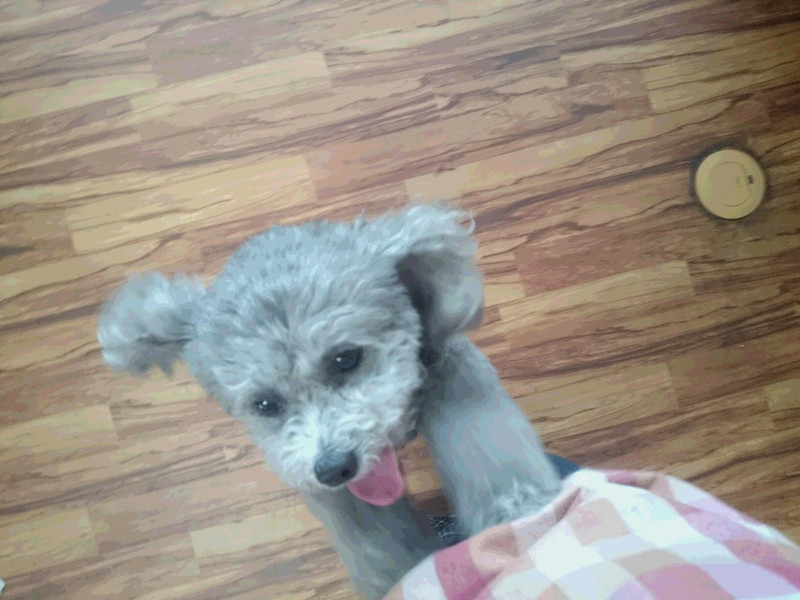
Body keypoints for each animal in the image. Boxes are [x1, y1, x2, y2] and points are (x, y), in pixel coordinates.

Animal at [97, 203, 562, 599]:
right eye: (264, 405)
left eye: (346, 358)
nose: (335, 468)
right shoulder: (333, 493)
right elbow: (382, 550)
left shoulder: (455, 378)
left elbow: (496, 467)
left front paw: (523, 515)